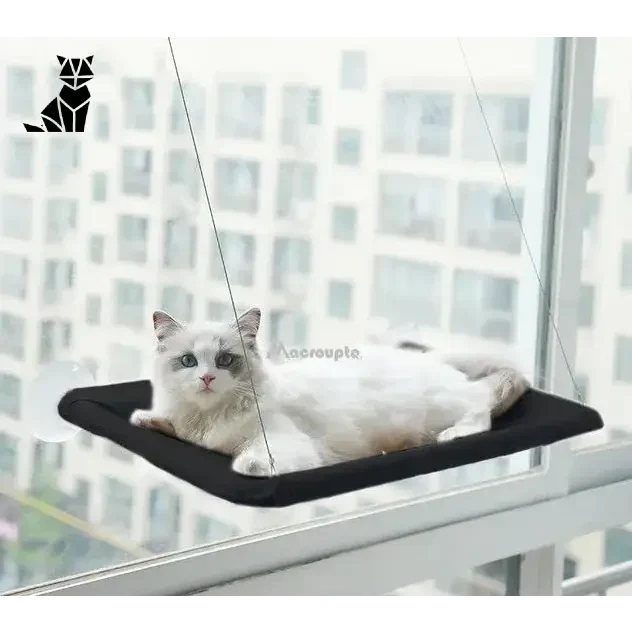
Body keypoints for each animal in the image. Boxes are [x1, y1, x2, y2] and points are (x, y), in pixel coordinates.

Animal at [130, 308, 528, 476]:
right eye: (188, 361)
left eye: (225, 360)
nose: (207, 379)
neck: (209, 418)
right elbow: (169, 426)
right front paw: (147, 419)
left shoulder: (283, 443)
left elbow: (252, 458)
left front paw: (245, 463)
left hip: (440, 408)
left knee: (482, 408)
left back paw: (452, 434)